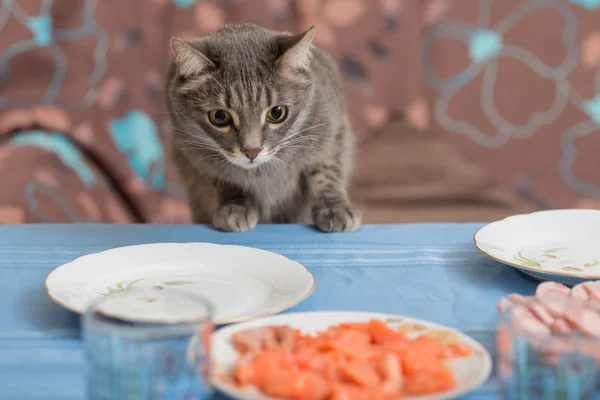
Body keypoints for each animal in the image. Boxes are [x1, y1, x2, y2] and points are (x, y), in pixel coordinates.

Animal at [166, 23, 358, 233]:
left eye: (276, 113)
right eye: (219, 117)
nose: (252, 152)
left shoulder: (333, 134)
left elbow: (327, 173)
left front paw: (334, 208)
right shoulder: (195, 156)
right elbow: (228, 181)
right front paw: (236, 207)